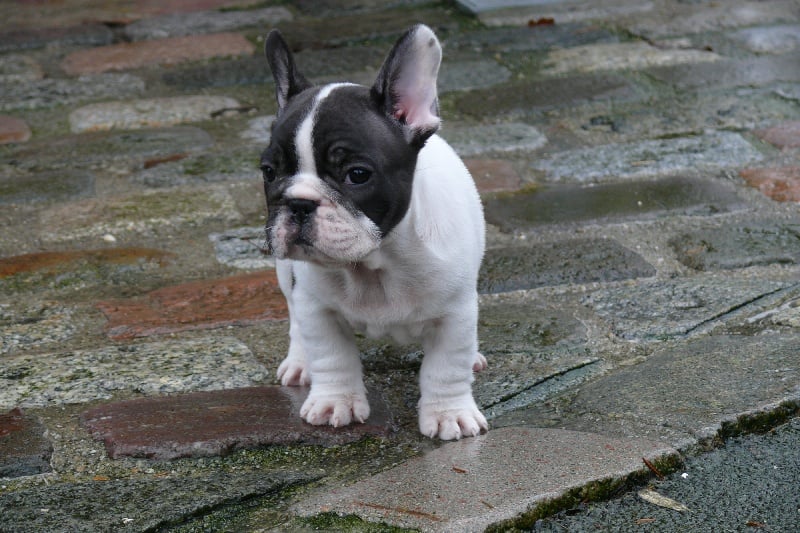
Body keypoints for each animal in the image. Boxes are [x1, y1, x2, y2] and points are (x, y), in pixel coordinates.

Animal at [261, 24, 487, 440]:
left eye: (357, 174)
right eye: (269, 172)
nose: (298, 203)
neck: (375, 264)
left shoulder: (455, 314)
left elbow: (447, 367)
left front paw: (449, 414)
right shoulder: (317, 308)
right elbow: (331, 355)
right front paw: (335, 402)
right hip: (287, 276)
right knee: (296, 320)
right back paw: (300, 363)